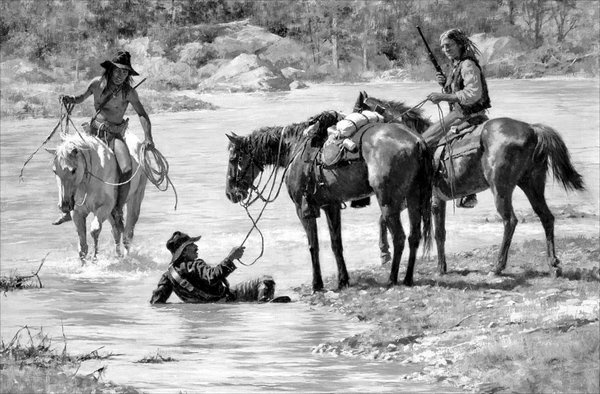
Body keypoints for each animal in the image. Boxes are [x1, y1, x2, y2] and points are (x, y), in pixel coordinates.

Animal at [48, 132, 147, 260]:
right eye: (55, 171)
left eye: (73, 170)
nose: (64, 205)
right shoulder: (78, 212)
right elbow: (83, 247)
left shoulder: (104, 207)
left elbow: (94, 230)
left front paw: (95, 258)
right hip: (111, 213)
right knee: (116, 231)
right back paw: (118, 255)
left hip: (135, 198)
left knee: (127, 234)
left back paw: (126, 257)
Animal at [225, 110, 432, 290]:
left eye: (234, 159)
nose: (230, 193)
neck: (295, 149)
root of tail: (416, 141)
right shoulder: (331, 206)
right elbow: (336, 244)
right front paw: (343, 280)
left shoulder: (303, 209)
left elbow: (313, 246)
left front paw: (317, 284)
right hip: (414, 197)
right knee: (414, 236)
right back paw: (407, 279)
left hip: (388, 202)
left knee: (399, 237)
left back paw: (392, 279)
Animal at [354, 91, 584, 278]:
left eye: (357, 112)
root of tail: (533, 130)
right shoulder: (432, 199)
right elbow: (436, 232)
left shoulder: (424, 198)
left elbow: (423, 228)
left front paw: (388, 252)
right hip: (532, 183)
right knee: (546, 217)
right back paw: (553, 265)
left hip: (501, 188)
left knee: (510, 221)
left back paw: (498, 267)